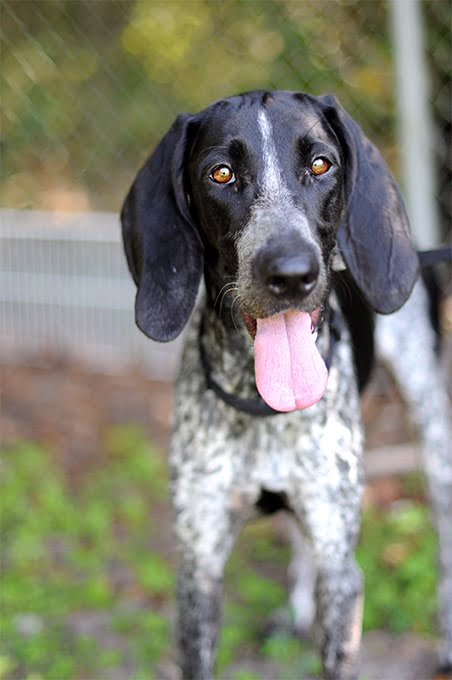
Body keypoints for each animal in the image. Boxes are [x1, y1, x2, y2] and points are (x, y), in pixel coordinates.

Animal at [121, 91, 452, 680]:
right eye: (221, 173)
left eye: (321, 164)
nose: (292, 273)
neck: (263, 407)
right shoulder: (198, 571)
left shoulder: (343, 577)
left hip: (433, 434)